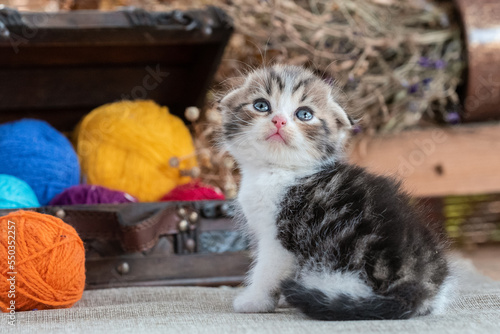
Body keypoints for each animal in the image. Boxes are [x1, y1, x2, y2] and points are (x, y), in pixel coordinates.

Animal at [217, 64, 456, 320]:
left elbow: (266, 270)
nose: (279, 120)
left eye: (304, 114)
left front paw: (255, 300)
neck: (277, 170)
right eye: (261, 105)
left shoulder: (278, 236)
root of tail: (417, 286)